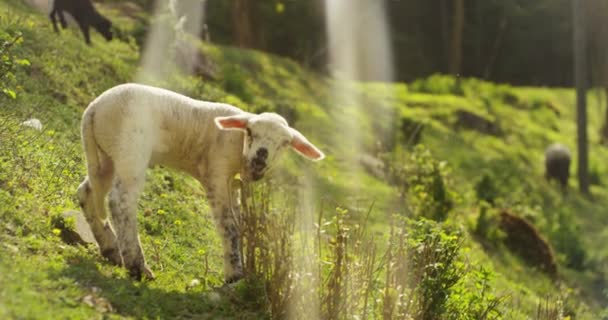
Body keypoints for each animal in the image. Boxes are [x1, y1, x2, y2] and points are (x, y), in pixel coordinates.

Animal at [76, 83, 326, 282]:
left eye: (284, 144)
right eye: (249, 131)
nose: (259, 159)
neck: (237, 146)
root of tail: (94, 108)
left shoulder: (232, 183)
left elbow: (239, 221)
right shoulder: (216, 171)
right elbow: (229, 224)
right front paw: (234, 275)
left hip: (106, 154)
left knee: (87, 192)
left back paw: (111, 249)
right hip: (130, 149)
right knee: (120, 201)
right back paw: (137, 266)